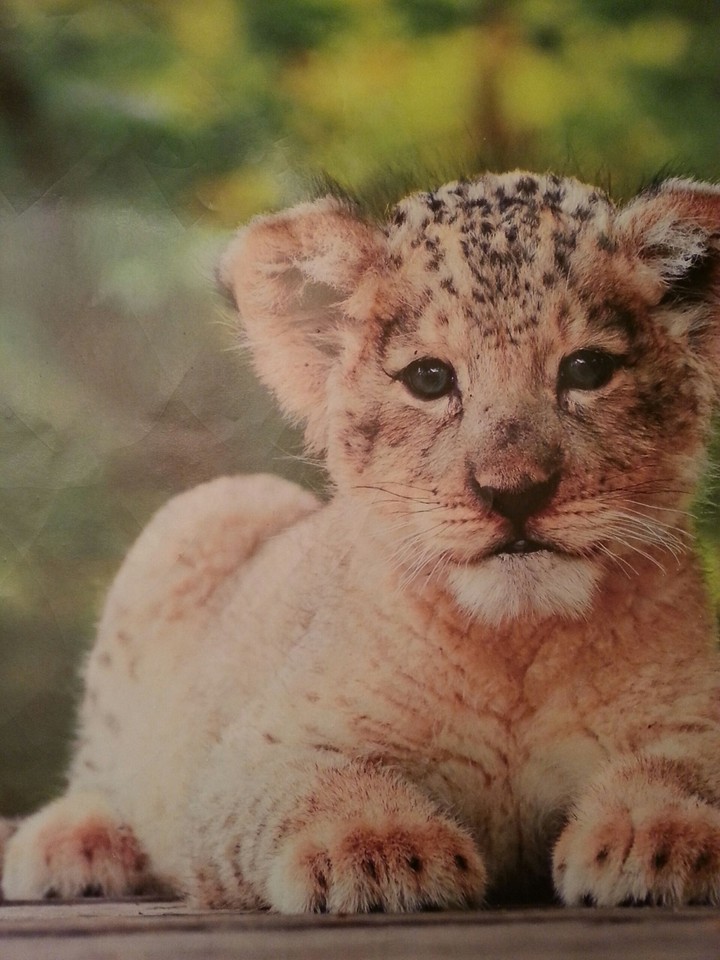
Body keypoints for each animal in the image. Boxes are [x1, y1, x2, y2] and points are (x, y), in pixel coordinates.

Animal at [3, 170, 720, 912]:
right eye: (430, 379)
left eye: (586, 370)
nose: (514, 492)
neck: (516, 644)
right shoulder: (250, 752)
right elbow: (315, 783)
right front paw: (377, 848)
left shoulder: (697, 720)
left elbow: (681, 768)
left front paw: (655, 834)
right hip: (210, 508)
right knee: (100, 767)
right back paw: (70, 847)